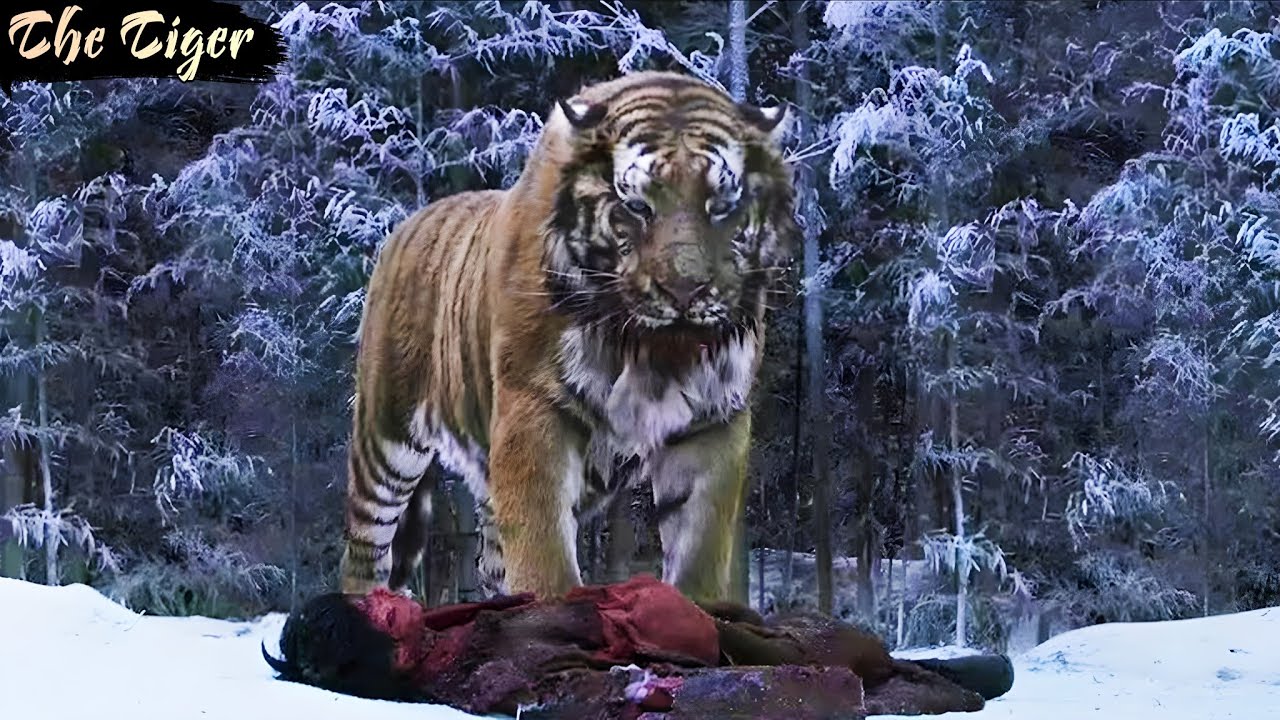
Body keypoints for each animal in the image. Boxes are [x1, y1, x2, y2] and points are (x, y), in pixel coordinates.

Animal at [340, 71, 797, 604]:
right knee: (365, 550)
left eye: (722, 206)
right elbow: (544, 549)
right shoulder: (533, 408)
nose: (686, 290)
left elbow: (700, 545)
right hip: (385, 440)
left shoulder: (713, 420)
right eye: (637, 206)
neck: (650, 351)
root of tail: (407, 224)